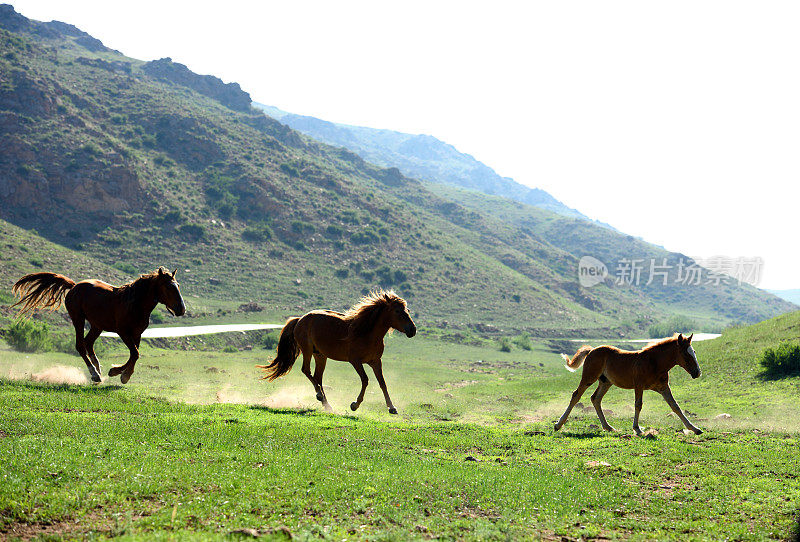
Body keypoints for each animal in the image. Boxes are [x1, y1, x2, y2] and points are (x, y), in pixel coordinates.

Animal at [12, 270, 186, 384]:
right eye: (168, 287)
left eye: (177, 285)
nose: (181, 309)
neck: (134, 303)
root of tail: (74, 286)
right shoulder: (123, 332)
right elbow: (135, 354)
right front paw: (121, 374)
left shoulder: (137, 334)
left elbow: (134, 354)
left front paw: (120, 373)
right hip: (78, 319)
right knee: (81, 346)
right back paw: (95, 374)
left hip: (97, 325)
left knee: (88, 343)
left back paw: (98, 368)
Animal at [258, 292, 418, 414]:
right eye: (397, 311)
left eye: (407, 310)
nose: (412, 330)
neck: (367, 333)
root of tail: (299, 319)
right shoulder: (355, 361)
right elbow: (365, 380)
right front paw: (355, 405)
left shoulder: (375, 362)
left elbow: (382, 383)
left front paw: (392, 408)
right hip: (308, 350)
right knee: (306, 371)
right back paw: (319, 395)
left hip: (320, 355)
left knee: (317, 377)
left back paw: (326, 404)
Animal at [552, 336, 704, 438]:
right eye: (685, 353)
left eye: (694, 352)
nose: (697, 372)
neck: (655, 362)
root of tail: (591, 350)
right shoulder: (639, 385)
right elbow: (638, 405)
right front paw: (637, 428)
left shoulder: (663, 387)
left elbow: (675, 406)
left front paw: (695, 428)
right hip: (589, 377)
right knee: (576, 395)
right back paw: (558, 424)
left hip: (606, 382)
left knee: (595, 399)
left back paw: (608, 427)